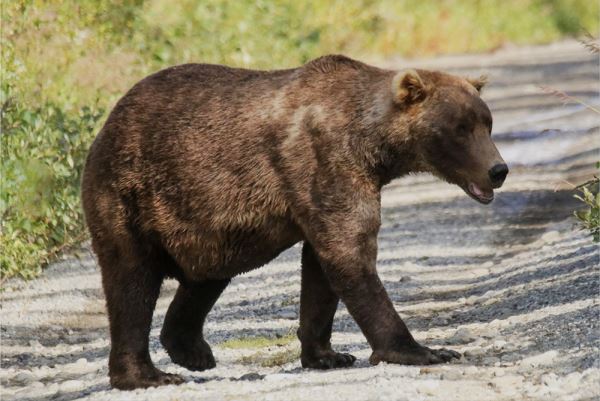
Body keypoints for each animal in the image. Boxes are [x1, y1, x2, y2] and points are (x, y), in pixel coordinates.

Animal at [82, 54, 508, 390]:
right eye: (459, 128)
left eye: (487, 123)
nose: (498, 170)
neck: (372, 145)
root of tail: (107, 123)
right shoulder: (327, 161)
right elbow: (350, 252)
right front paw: (423, 350)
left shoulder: (326, 188)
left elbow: (321, 268)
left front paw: (327, 354)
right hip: (131, 195)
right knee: (131, 283)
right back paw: (147, 374)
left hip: (206, 225)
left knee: (206, 276)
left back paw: (192, 350)